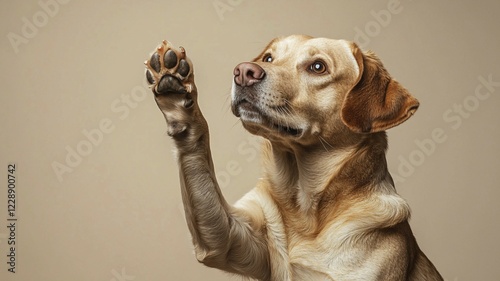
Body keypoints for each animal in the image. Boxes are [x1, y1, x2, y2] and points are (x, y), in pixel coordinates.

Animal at [144, 35, 442, 280]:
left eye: (318, 67)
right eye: (268, 58)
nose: (244, 72)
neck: (305, 208)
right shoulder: (228, 238)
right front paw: (176, 94)